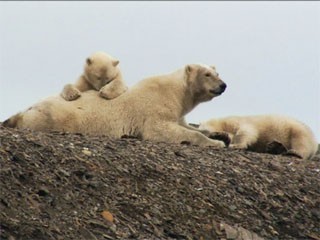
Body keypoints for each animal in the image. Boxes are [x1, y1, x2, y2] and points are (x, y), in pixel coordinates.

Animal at [2, 63, 228, 147]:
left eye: (217, 72)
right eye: (207, 74)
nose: (223, 85)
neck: (176, 91)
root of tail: (27, 109)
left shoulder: (177, 112)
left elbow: (187, 125)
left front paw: (220, 135)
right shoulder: (154, 108)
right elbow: (161, 130)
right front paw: (215, 143)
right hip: (56, 116)